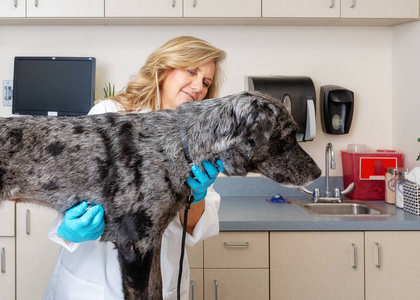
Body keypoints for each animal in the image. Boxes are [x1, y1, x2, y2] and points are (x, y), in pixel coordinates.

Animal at [0, 90, 320, 298]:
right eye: (287, 137)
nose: (317, 173)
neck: (180, 144)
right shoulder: (135, 247)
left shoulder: (151, 244)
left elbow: (156, 290)